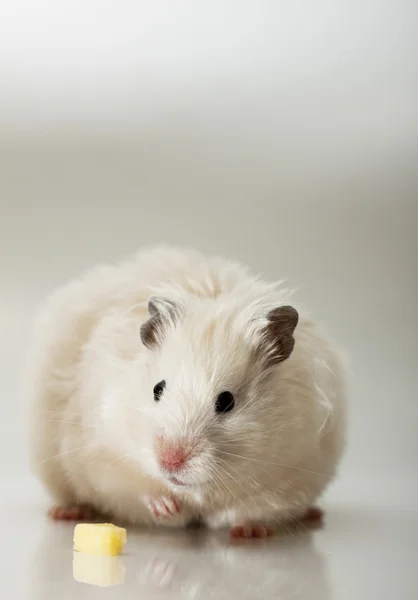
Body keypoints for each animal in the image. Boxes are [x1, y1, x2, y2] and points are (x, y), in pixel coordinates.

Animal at [28, 246, 346, 536]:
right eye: (157, 389)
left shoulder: (297, 470)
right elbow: (131, 487)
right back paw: (66, 512)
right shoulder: (100, 451)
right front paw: (166, 508)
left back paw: (312, 515)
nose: (169, 461)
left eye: (227, 401)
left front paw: (246, 532)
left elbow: (257, 506)